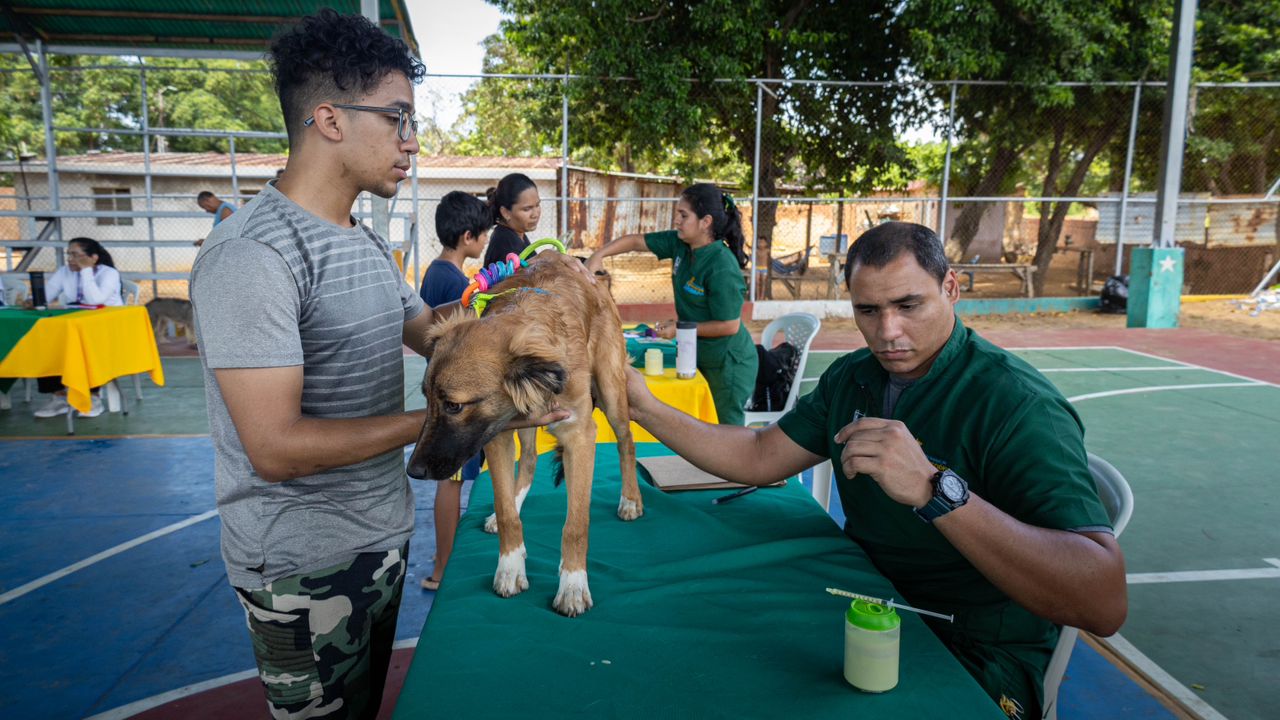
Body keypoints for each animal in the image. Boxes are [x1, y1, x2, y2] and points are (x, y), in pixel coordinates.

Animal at [406, 253, 641, 617]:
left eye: (454, 406)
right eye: (427, 399)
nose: (413, 471)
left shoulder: (580, 435)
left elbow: (576, 525)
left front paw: (573, 585)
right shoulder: (496, 435)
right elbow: (506, 512)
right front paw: (510, 567)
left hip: (611, 389)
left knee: (626, 441)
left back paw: (630, 499)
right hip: (525, 422)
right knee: (529, 459)